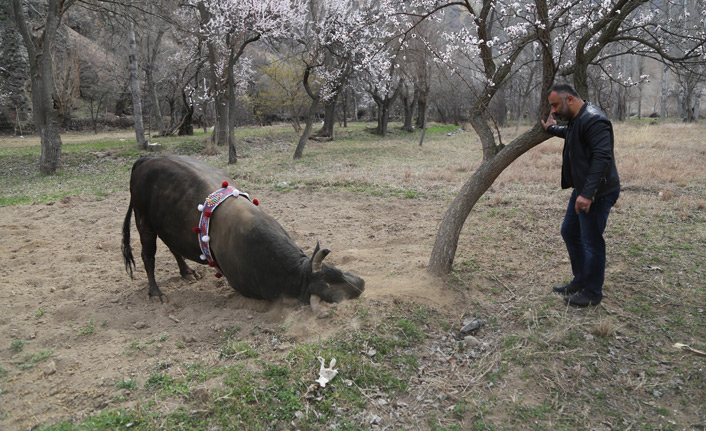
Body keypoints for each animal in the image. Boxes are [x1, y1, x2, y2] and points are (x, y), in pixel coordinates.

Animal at [121, 156, 364, 304]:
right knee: (148, 256)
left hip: (166, 225)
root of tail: (146, 159)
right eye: (331, 292)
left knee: (173, 247)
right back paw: (155, 292)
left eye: (337, 271)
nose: (361, 286)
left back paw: (187, 272)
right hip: (144, 222)